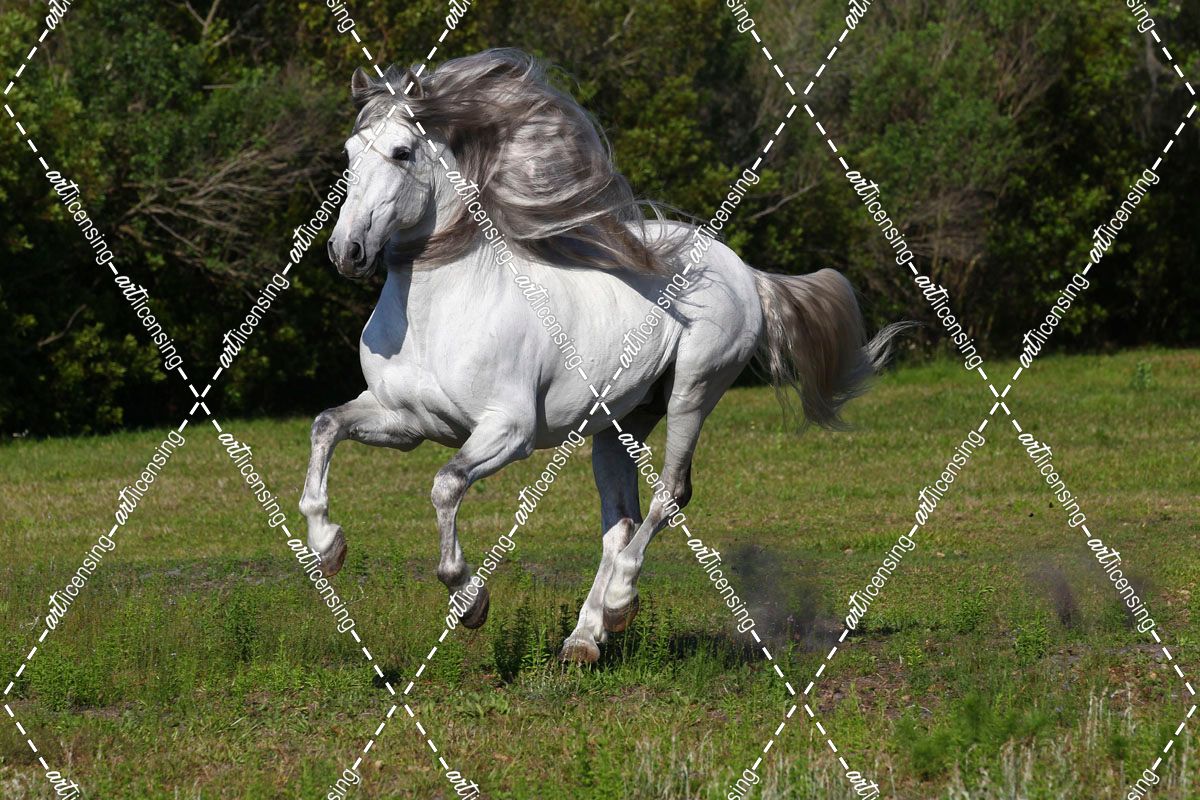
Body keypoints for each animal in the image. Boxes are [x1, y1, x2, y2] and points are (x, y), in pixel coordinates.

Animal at [301, 48, 903, 664]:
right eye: (349, 152)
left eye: (402, 152)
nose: (346, 251)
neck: (437, 314)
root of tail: (742, 269)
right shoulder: (404, 422)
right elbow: (326, 425)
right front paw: (327, 547)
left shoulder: (508, 432)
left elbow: (445, 485)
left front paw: (470, 602)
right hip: (620, 424)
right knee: (620, 523)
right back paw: (586, 639)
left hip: (693, 392)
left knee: (670, 496)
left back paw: (618, 603)